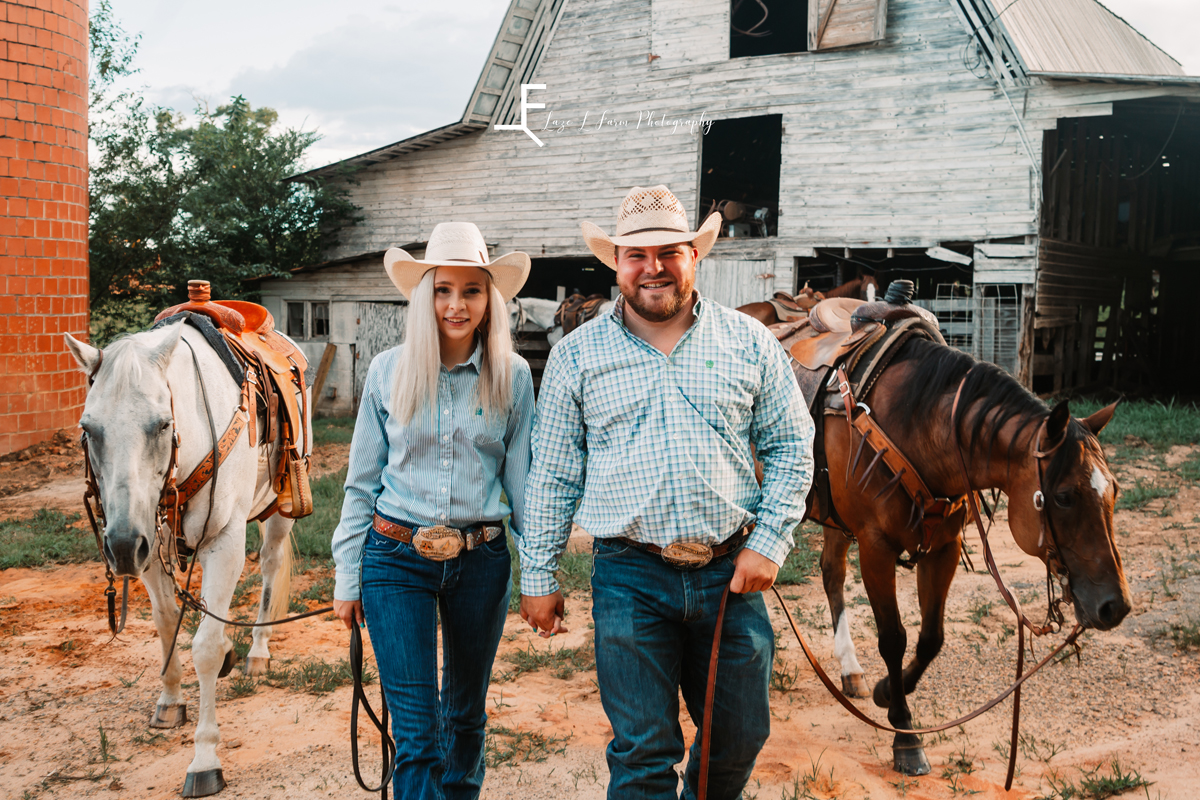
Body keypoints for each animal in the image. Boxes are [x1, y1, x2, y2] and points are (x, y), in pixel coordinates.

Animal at [67, 321, 297, 796]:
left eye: (162, 424)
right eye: (88, 429)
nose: (119, 545)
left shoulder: (224, 541)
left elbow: (204, 647)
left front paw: (205, 759)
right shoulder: (149, 542)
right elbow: (167, 622)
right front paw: (170, 700)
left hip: (276, 511)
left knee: (269, 565)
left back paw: (257, 651)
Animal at [787, 331, 1132, 777]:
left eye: (1114, 490)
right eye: (1063, 496)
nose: (1115, 606)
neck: (918, 425)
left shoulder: (943, 547)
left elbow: (931, 638)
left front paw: (887, 692)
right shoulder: (875, 546)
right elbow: (893, 639)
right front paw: (905, 736)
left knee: (831, 572)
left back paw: (851, 670)